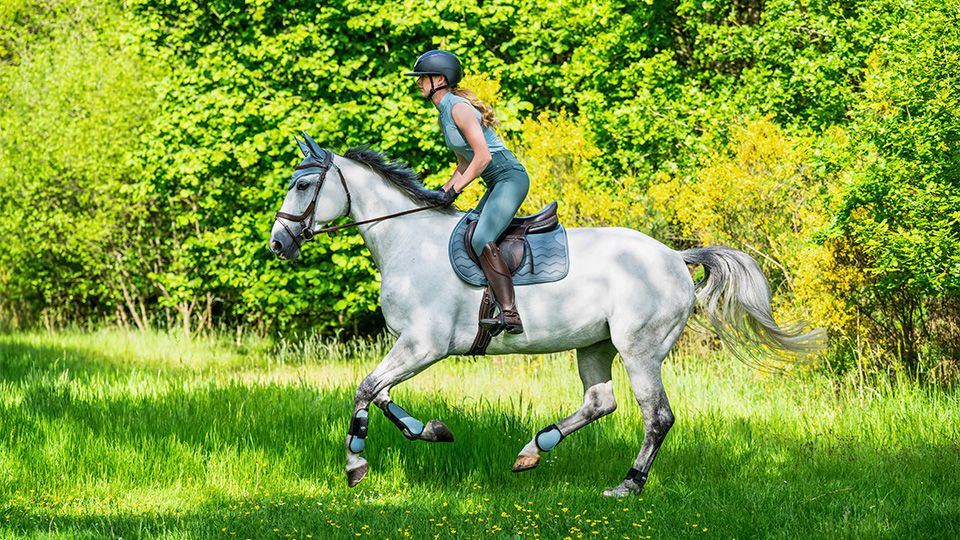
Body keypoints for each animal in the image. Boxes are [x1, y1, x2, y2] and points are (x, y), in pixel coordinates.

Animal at [268, 133, 825, 497]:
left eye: (302, 187)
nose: (278, 243)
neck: (408, 240)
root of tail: (674, 256)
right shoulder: (412, 346)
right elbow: (380, 394)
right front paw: (432, 430)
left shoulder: (424, 345)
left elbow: (365, 389)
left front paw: (355, 463)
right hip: (594, 345)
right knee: (601, 402)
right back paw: (534, 450)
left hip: (639, 348)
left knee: (657, 416)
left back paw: (627, 485)